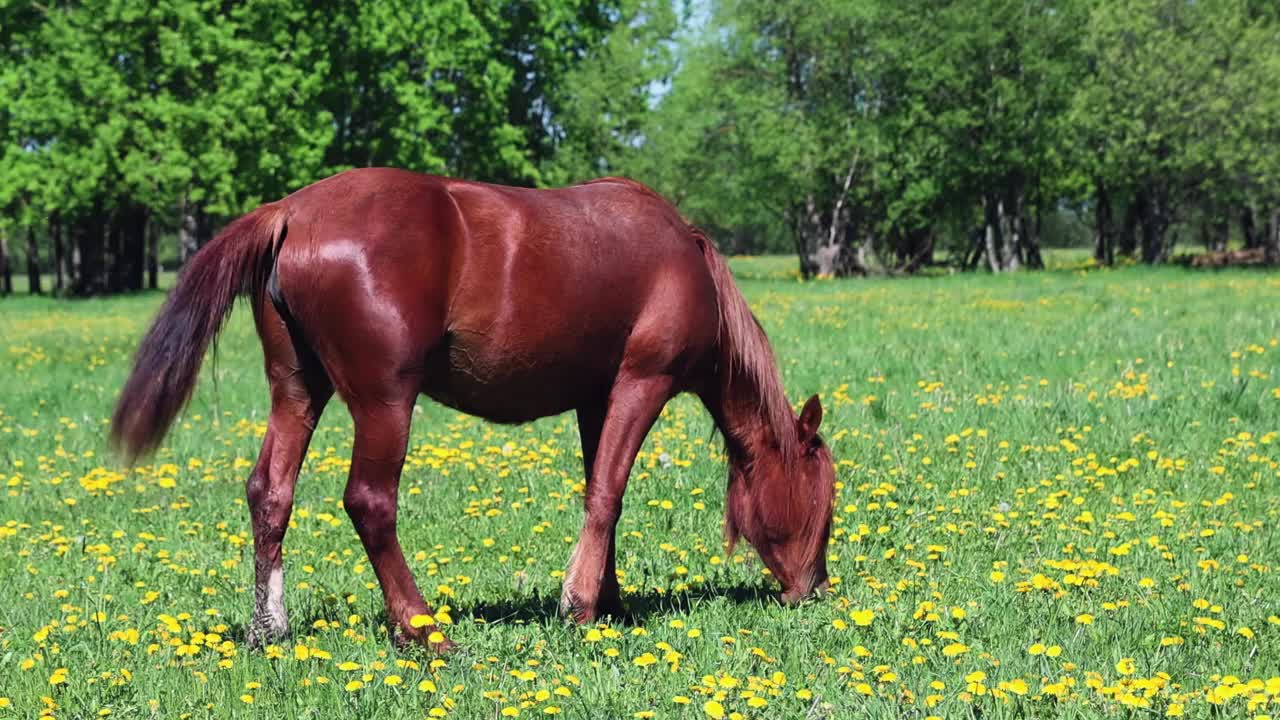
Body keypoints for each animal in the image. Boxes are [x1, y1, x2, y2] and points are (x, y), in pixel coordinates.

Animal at [112, 165, 839, 648]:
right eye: (822, 501)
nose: (815, 588)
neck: (683, 259)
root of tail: (291, 211)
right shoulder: (642, 381)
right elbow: (608, 492)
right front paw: (580, 604)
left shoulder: (595, 398)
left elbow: (602, 493)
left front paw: (607, 597)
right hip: (385, 401)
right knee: (369, 502)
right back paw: (421, 626)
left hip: (297, 388)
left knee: (270, 492)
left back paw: (271, 627)